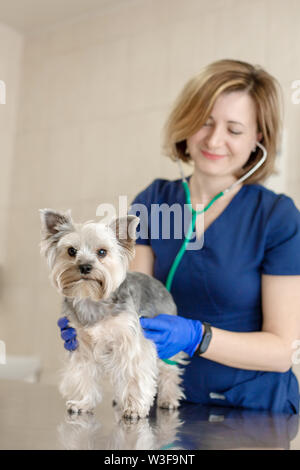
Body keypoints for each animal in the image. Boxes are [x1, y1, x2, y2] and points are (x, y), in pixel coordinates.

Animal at [39, 209, 185, 418]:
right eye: (71, 251)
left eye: (102, 252)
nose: (85, 267)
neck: (92, 299)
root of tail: (158, 283)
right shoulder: (80, 344)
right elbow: (83, 372)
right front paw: (83, 402)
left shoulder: (130, 342)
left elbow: (134, 373)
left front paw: (134, 407)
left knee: (169, 371)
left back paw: (169, 399)